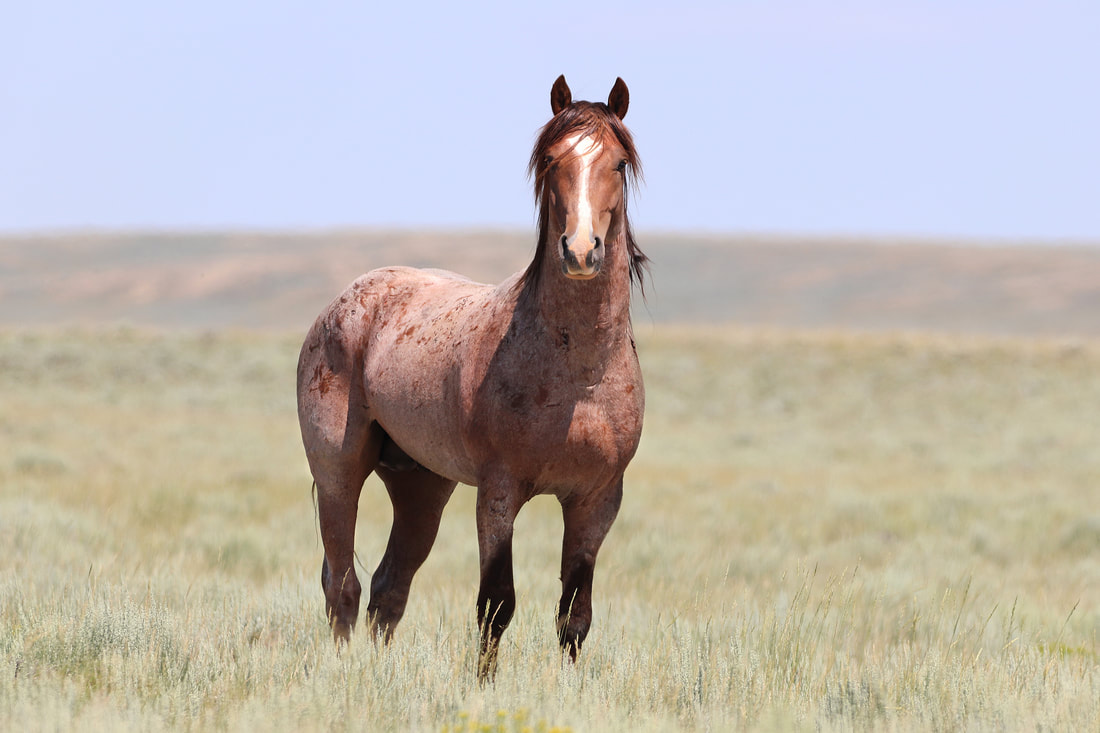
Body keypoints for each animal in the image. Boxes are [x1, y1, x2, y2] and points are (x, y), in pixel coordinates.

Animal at [297, 75, 646, 677]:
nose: (581, 250)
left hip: (421, 486)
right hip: (339, 473)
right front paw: (484, 686)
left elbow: (574, 615)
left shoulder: (596, 501)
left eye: (619, 163)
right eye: (551, 159)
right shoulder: (499, 493)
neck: (580, 375)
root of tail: (341, 303)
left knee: (389, 588)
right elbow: (496, 604)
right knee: (342, 586)